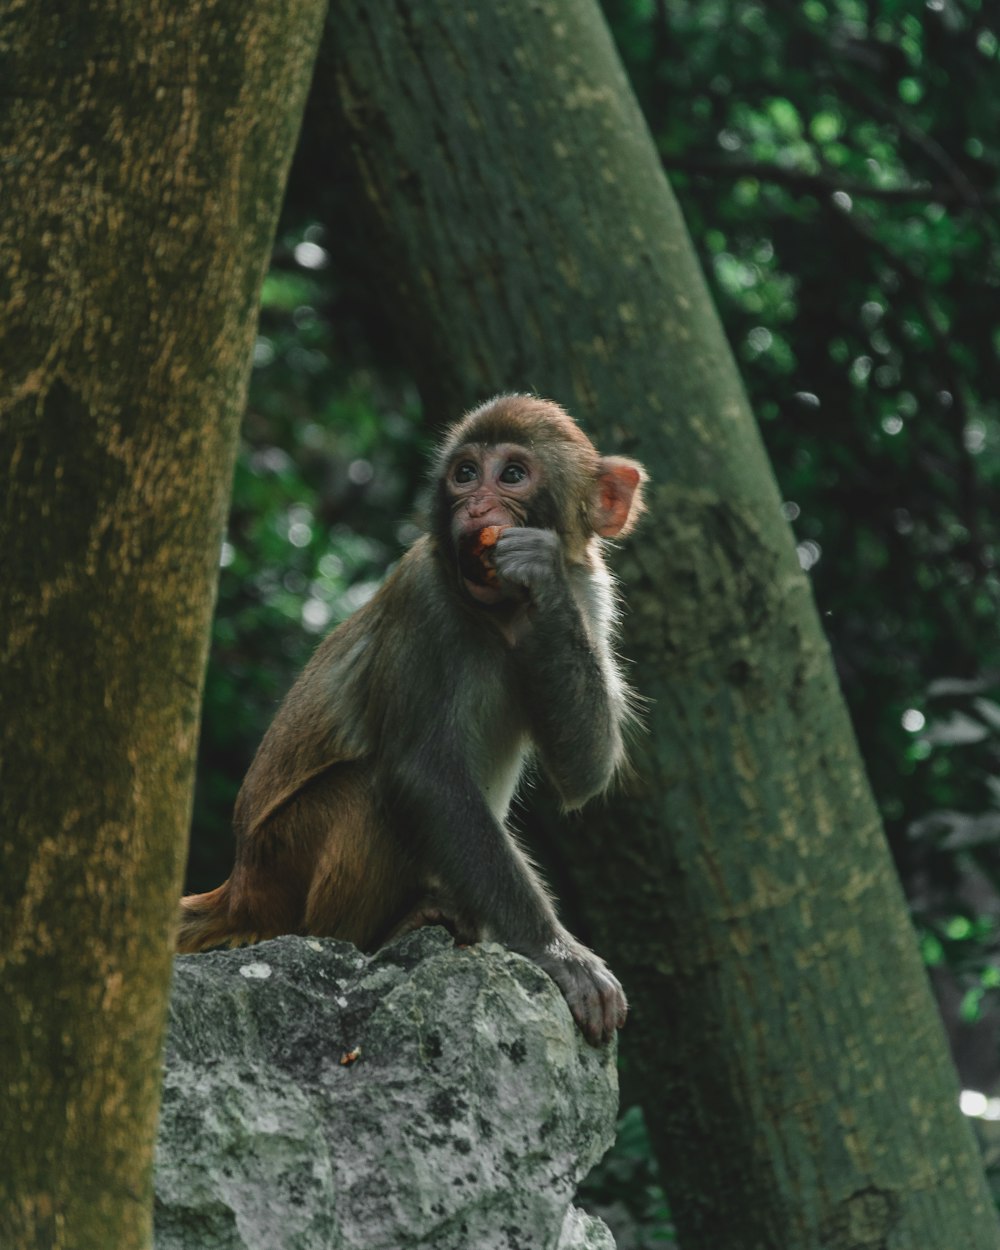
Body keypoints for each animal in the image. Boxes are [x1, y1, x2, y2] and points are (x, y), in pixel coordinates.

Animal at [177, 392, 650, 1045]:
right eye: (465, 473)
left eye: (512, 474)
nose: (475, 506)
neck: (496, 614)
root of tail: (240, 887)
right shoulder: (422, 593)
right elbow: (422, 773)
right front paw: (561, 955)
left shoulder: (591, 592)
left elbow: (585, 772)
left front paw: (540, 574)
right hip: (283, 866)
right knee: (371, 788)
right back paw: (378, 934)